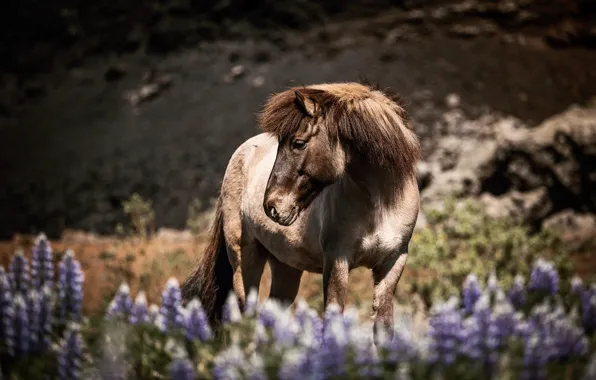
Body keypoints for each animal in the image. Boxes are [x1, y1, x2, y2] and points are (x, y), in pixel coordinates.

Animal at [179, 81, 422, 340]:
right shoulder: (337, 262)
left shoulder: (393, 262)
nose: (272, 206)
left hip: (285, 268)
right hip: (245, 259)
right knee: (247, 316)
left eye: (298, 143)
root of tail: (241, 153)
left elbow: (383, 329)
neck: (380, 204)